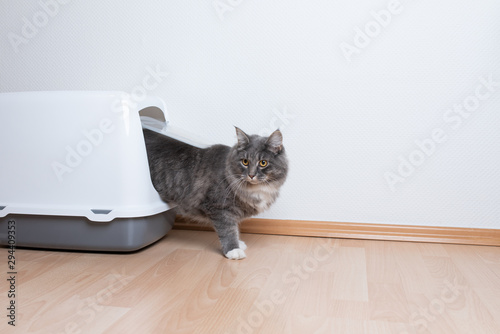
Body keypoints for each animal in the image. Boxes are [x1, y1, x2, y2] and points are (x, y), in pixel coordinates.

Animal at [143, 126, 288, 260]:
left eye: (263, 163)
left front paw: (238, 244)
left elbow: (235, 229)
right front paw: (233, 250)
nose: (251, 175)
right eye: (245, 162)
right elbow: (228, 230)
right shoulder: (220, 208)